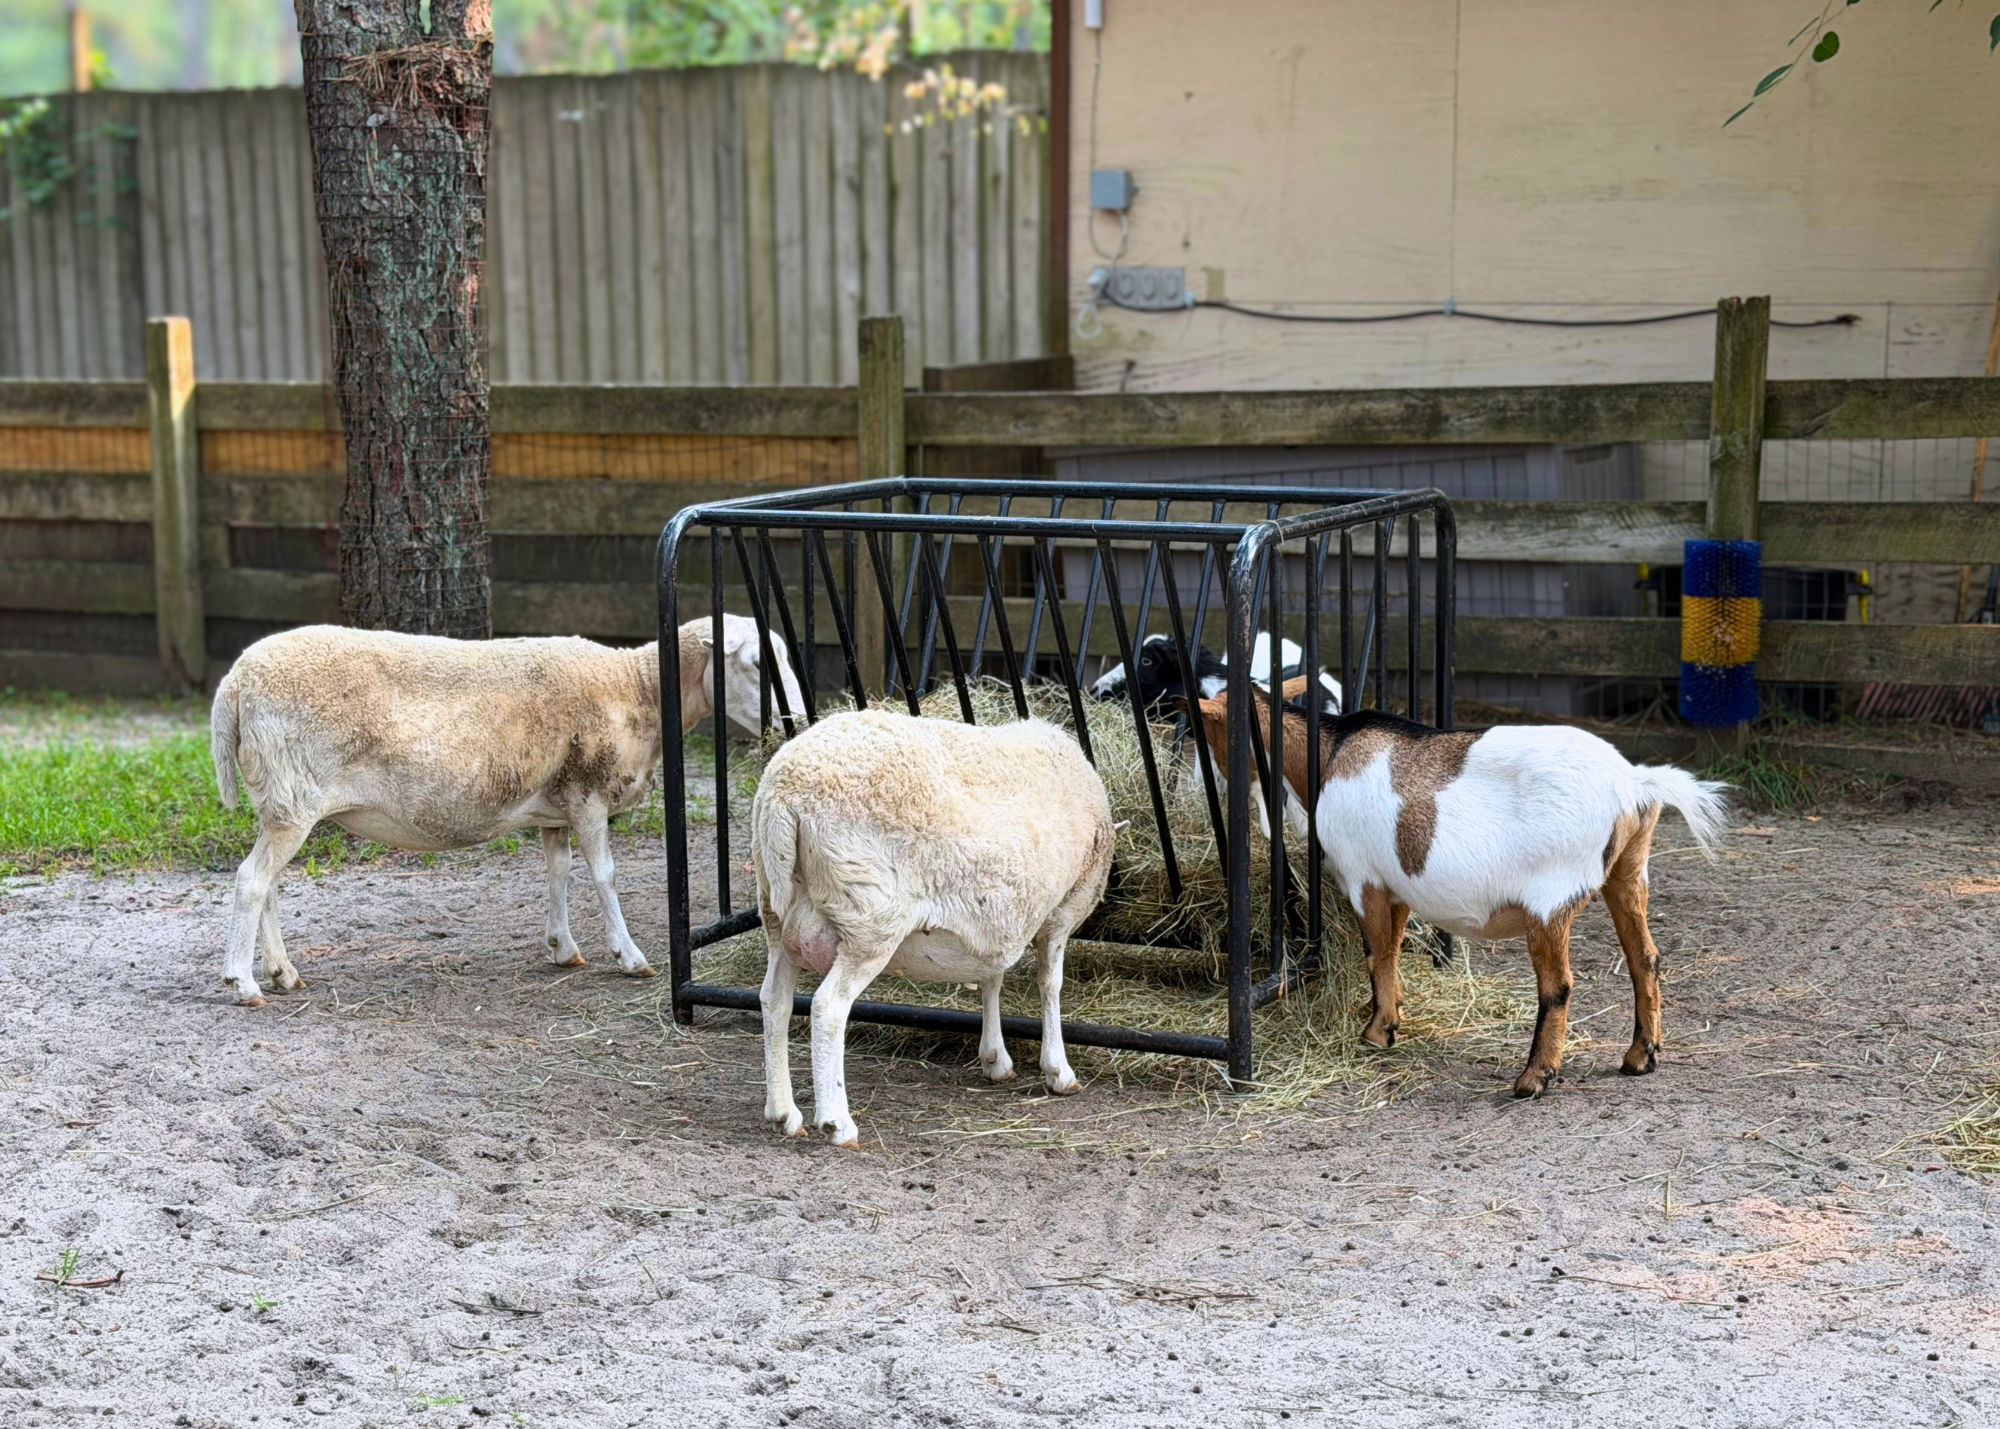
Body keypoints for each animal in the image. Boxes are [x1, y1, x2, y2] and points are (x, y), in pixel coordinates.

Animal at [209, 614, 803, 1006]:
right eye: (756, 664)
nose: (795, 720)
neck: (637, 689)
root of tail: (233, 685)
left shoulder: (557, 804)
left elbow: (559, 871)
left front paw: (563, 947)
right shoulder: (588, 795)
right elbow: (605, 875)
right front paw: (629, 956)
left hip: (281, 799)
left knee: (268, 885)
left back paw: (283, 973)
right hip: (293, 795)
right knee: (250, 881)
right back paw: (243, 983)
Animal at [750, 710, 1116, 1148]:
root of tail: (784, 796)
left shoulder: (995, 921)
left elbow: (993, 977)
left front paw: (995, 1058)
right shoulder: (1063, 908)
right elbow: (1050, 984)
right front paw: (1058, 1071)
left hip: (779, 915)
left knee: (774, 1001)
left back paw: (783, 1113)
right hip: (868, 919)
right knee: (828, 1007)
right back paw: (838, 1122)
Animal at [1187, 693, 1727, 1097]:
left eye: (1207, 733)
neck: (1331, 753)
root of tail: (1633, 782)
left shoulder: (1364, 878)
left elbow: (1376, 952)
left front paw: (1377, 1032)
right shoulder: (1396, 884)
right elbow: (1393, 948)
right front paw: (1392, 1014)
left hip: (1549, 899)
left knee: (1558, 985)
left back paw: (1533, 1078)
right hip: (1628, 873)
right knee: (1645, 959)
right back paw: (1640, 1056)